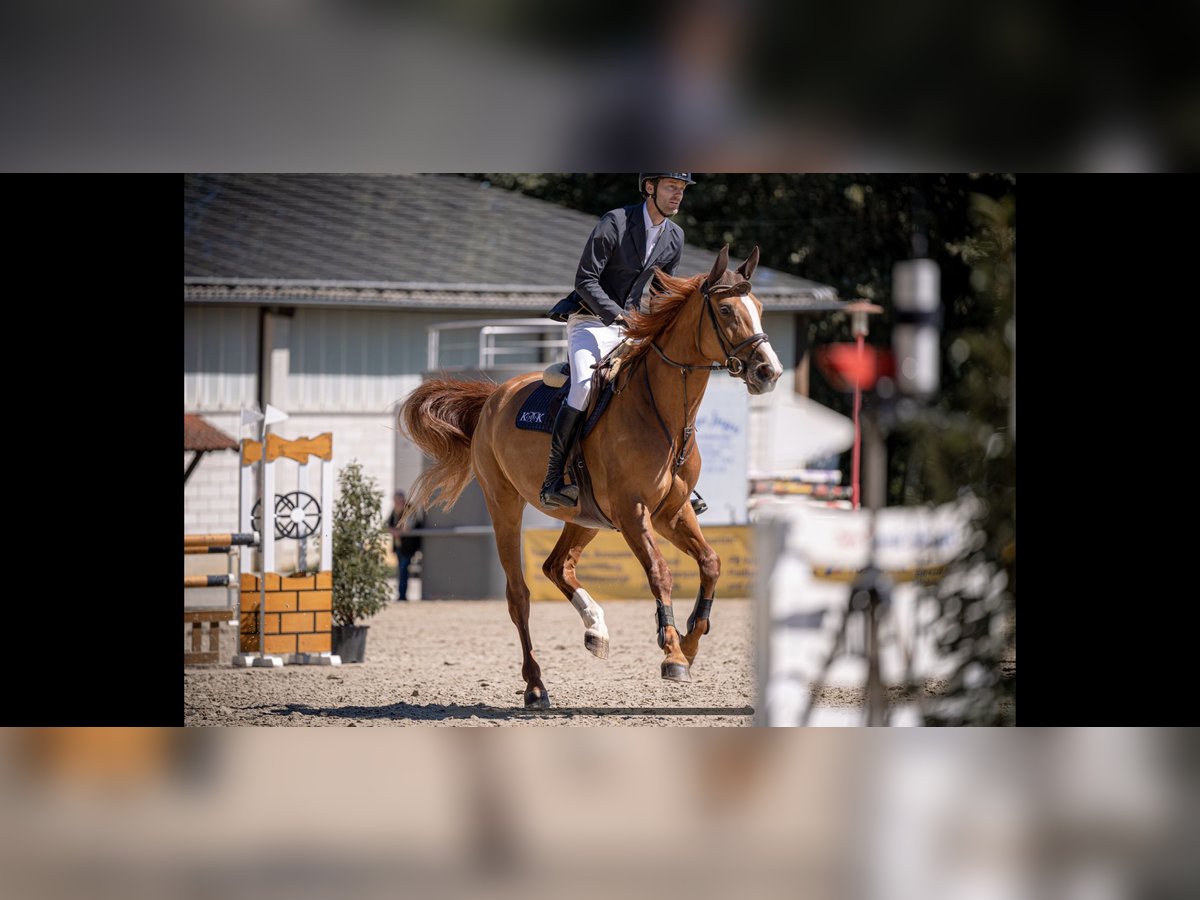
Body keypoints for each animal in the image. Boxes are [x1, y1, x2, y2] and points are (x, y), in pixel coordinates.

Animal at [398, 244, 782, 708]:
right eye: (726, 310)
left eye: (759, 309)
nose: (769, 372)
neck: (665, 416)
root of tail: (494, 396)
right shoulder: (634, 513)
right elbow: (660, 573)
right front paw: (672, 652)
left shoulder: (671, 512)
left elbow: (711, 562)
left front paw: (690, 642)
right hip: (504, 504)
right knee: (519, 594)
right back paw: (535, 684)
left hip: (586, 516)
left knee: (557, 566)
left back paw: (596, 630)